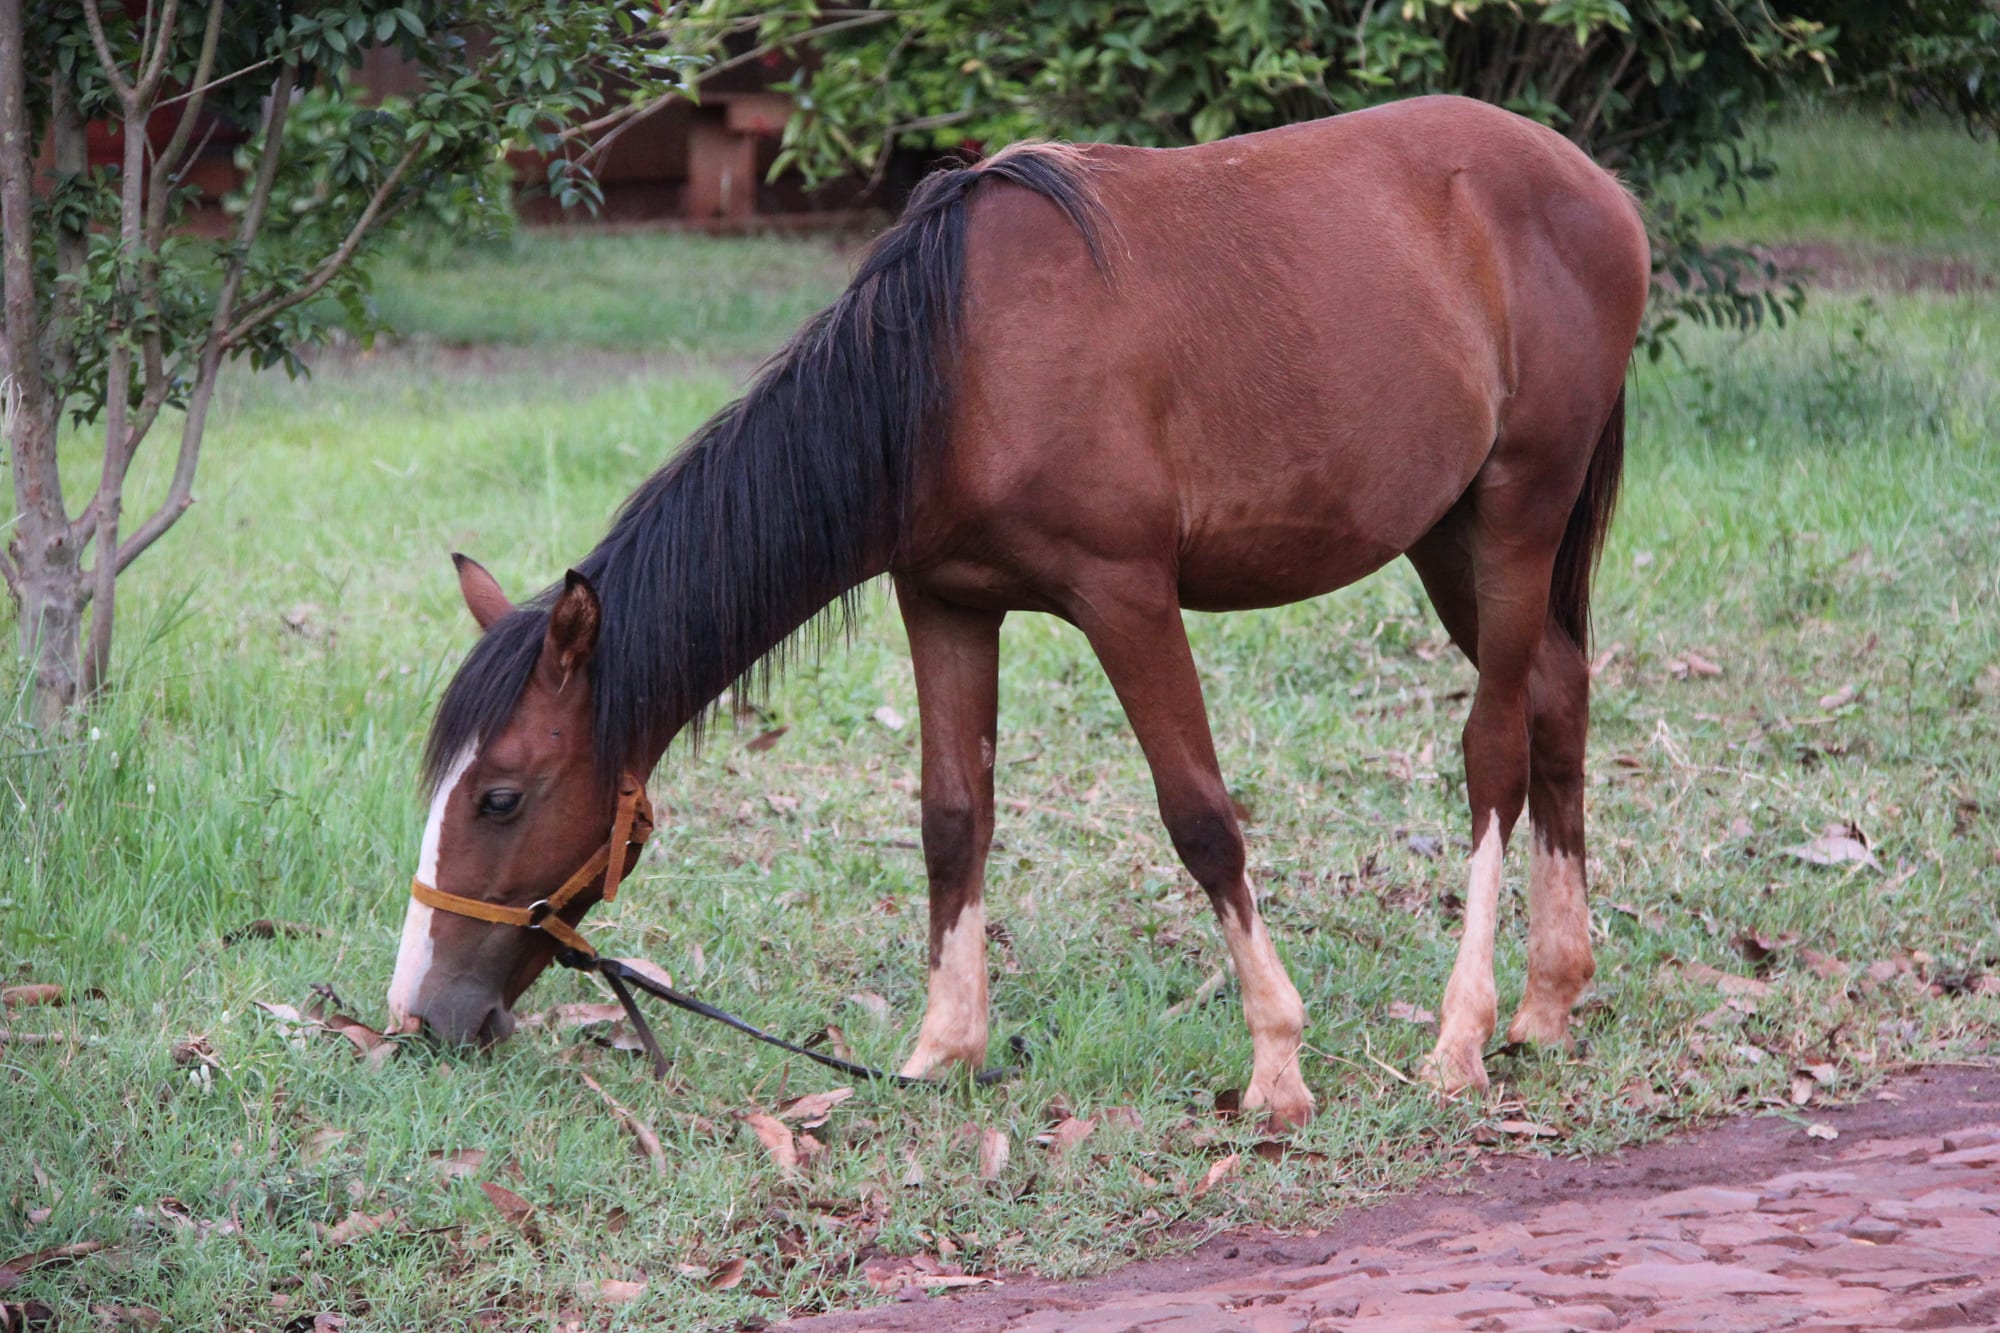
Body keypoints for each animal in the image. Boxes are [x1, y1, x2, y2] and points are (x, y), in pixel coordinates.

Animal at [386, 94, 1648, 1125]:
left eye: (500, 796)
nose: (419, 1018)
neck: (949, 374)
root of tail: (1593, 185)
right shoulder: (944, 604)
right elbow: (953, 817)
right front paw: (939, 1052)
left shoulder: (1127, 597)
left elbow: (1199, 817)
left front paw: (1277, 1063)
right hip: (1445, 533)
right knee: (1555, 701)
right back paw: (1547, 1002)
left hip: (1515, 512)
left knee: (1492, 749)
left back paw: (1459, 1034)